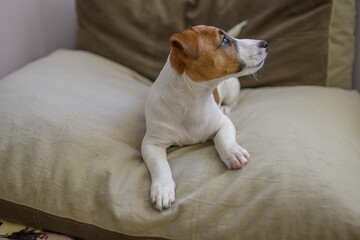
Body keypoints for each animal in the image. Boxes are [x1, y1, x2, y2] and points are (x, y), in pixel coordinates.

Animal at [141, 25, 268, 211]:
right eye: (225, 41)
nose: (265, 43)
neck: (193, 102)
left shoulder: (224, 123)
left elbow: (223, 138)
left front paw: (233, 153)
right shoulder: (151, 143)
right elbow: (160, 165)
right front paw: (163, 189)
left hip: (232, 89)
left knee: (233, 102)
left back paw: (225, 107)